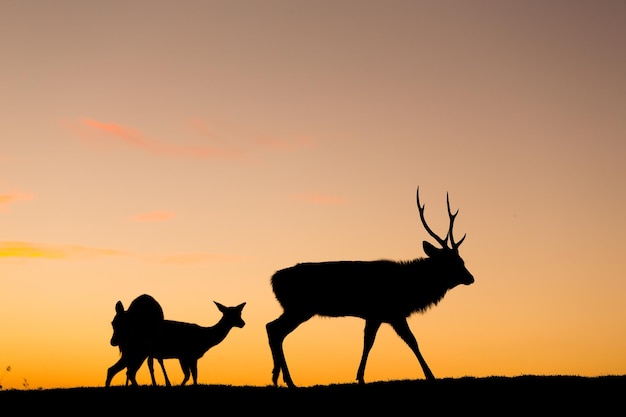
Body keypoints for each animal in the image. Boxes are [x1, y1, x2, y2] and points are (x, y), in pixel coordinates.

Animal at [264, 186, 472, 386]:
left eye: (461, 260)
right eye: (455, 262)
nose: (471, 278)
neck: (410, 288)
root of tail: (274, 279)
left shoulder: (375, 316)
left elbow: (368, 342)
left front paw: (360, 376)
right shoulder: (392, 312)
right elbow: (412, 341)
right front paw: (430, 375)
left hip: (296, 309)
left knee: (273, 328)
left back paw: (277, 377)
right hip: (299, 308)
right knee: (274, 329)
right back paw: (288, 380)